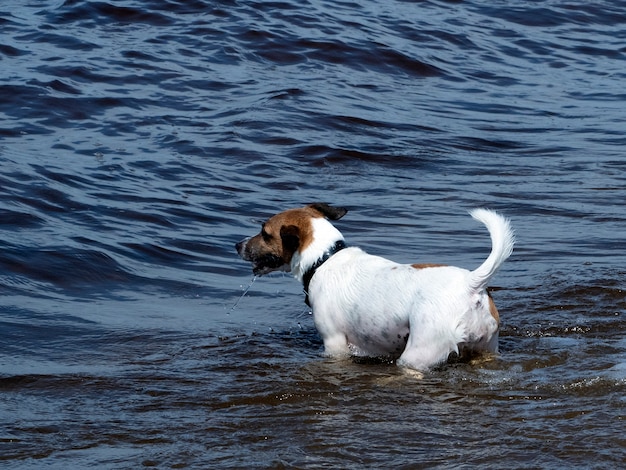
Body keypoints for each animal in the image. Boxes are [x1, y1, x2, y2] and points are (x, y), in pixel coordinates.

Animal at [234, 202, 512, 370]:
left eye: (265, 232)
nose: (237, 245)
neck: (324, 259)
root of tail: (471, 283)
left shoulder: (334, 344)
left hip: (418, 353)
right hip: (486, 348)